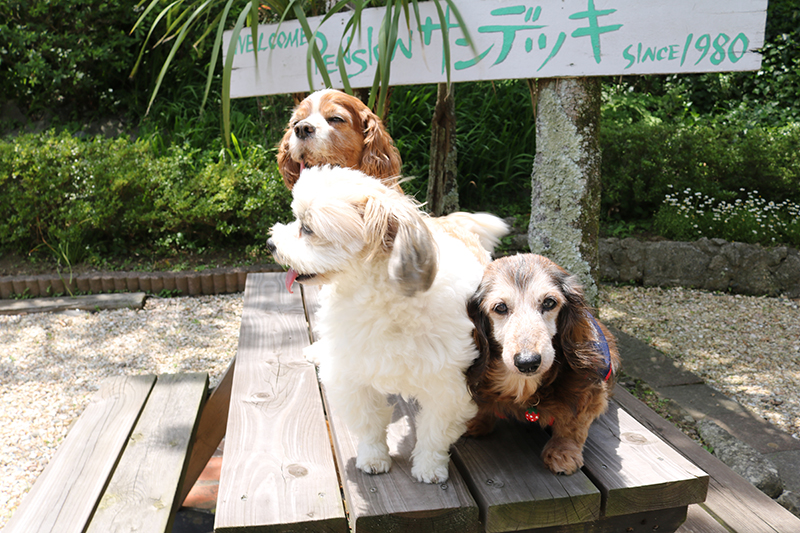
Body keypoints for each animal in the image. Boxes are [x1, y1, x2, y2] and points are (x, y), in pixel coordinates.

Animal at [268, 165, 506, 482]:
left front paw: (430, 466)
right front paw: (373, 456)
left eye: (307, 229)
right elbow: (368, 422)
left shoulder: (448, 384)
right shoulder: (351, 374)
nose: (270, 243)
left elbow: (435, 430)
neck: (382, 299)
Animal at [462, 254, 620, 474]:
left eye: (549, 302)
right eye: (500, 307)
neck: (524, 384)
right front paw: (475, 421)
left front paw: (563, 451)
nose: (528, 362)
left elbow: (573, 424)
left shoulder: (589, 391)